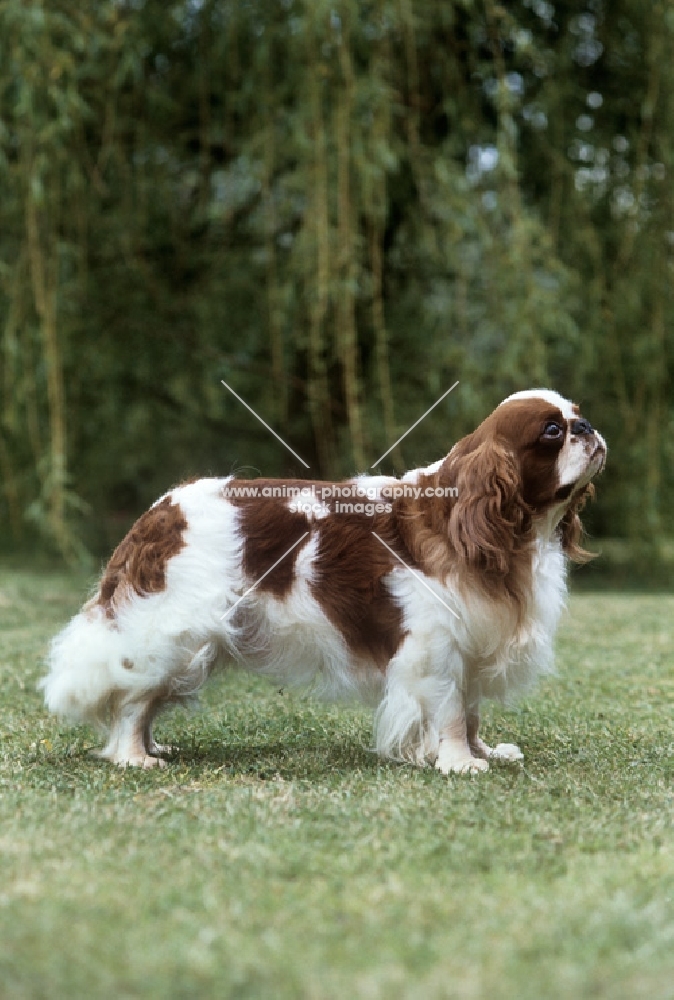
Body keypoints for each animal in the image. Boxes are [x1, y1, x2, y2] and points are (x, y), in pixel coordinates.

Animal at [44, 390, 608, 772]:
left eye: (576, 414)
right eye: (552, 432)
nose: (587, 425)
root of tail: (161, 511)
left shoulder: (471, 639)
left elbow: (470, 712)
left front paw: (483, 750)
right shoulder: (435, 644)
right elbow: (449, 711)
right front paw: (458, 762)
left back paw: (152, 744)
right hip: (175, 631)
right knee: (132, 699)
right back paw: (133, 755)